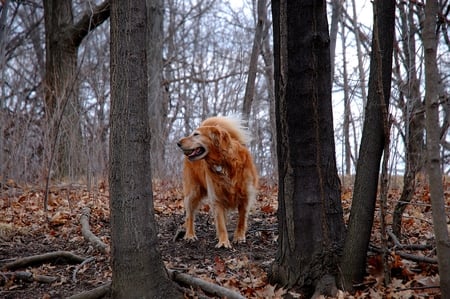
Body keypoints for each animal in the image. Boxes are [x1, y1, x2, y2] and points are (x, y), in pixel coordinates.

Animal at [178, 116, 258, 250]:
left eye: (196, 134)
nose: (178, 143)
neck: (224, 163)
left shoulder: (246, 196)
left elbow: (241, 220)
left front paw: (239, 237)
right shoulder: (217, 198)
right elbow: (221, 224)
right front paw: (224, 242)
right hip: (193, 192)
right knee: (190, 215)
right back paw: (190, 235)